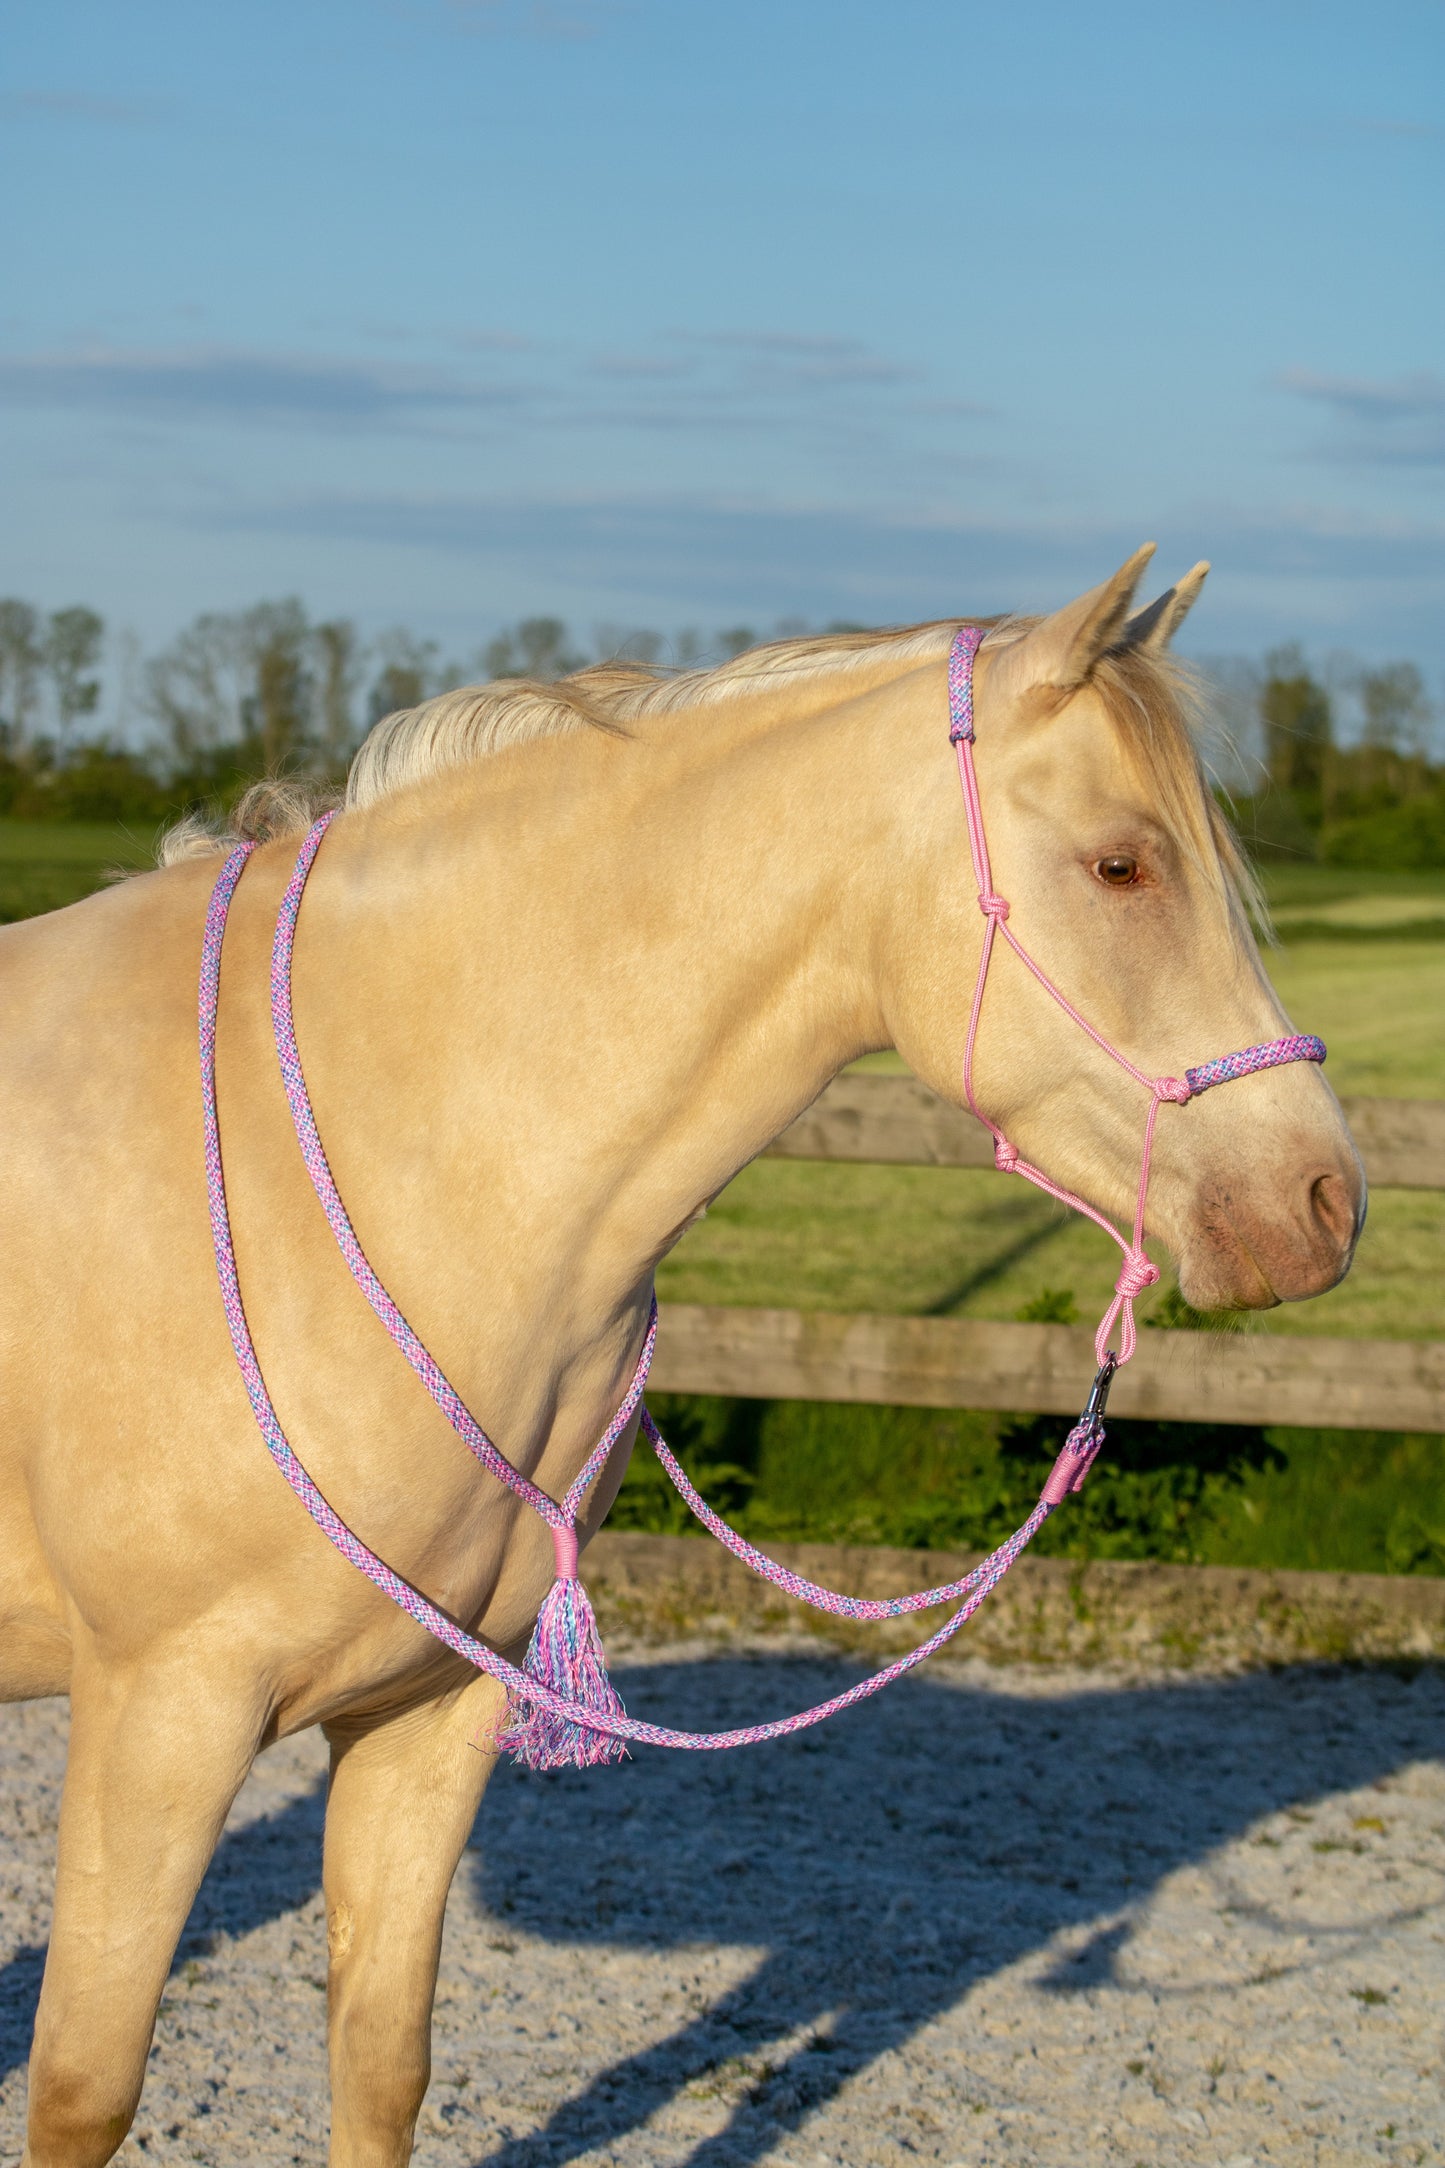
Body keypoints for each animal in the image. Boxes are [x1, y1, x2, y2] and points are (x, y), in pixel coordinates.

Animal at [0, 547, 1363, 2165]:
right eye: (1119, 866)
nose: (1321, 1203)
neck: (355, 1148)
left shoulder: (428, 1713)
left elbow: (380, 2060)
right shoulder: (159, 1723)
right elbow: (85, 2086)